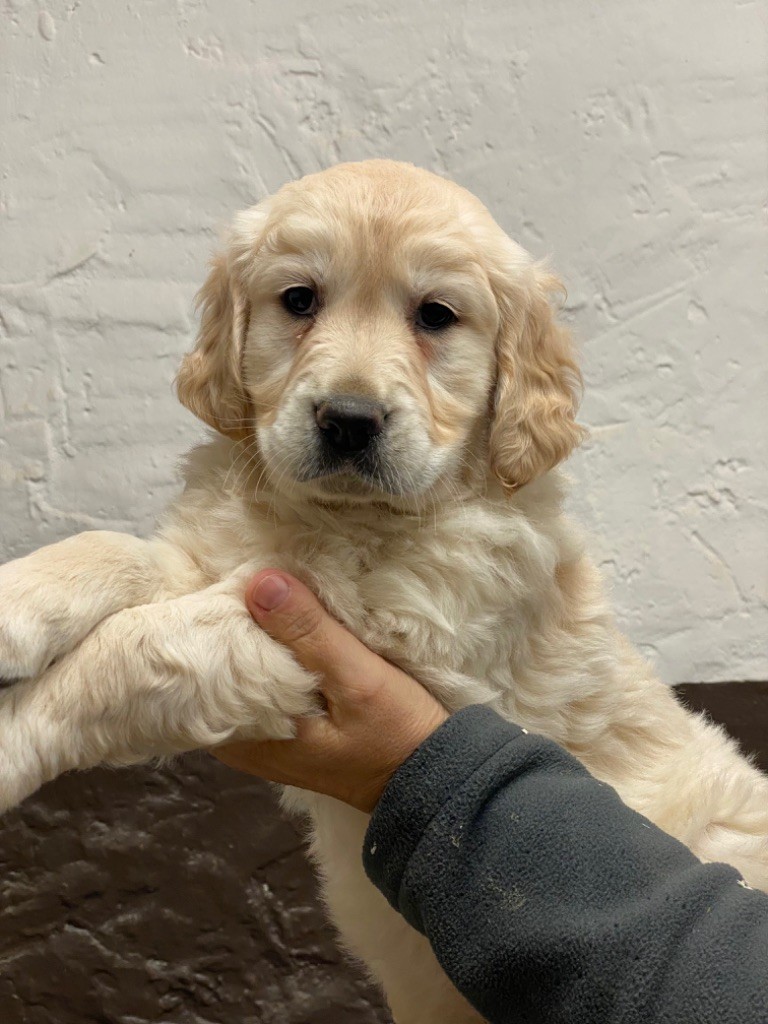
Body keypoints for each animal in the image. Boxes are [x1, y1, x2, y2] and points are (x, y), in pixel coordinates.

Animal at [1, 160, 766, 1023]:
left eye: (435, 315)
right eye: (300, 299)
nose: (348, 419)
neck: (341, 521)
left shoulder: (360, 633)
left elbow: (138, 646)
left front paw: (11, 736)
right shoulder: (222, 560)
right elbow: (118, 555)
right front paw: (18, 598)